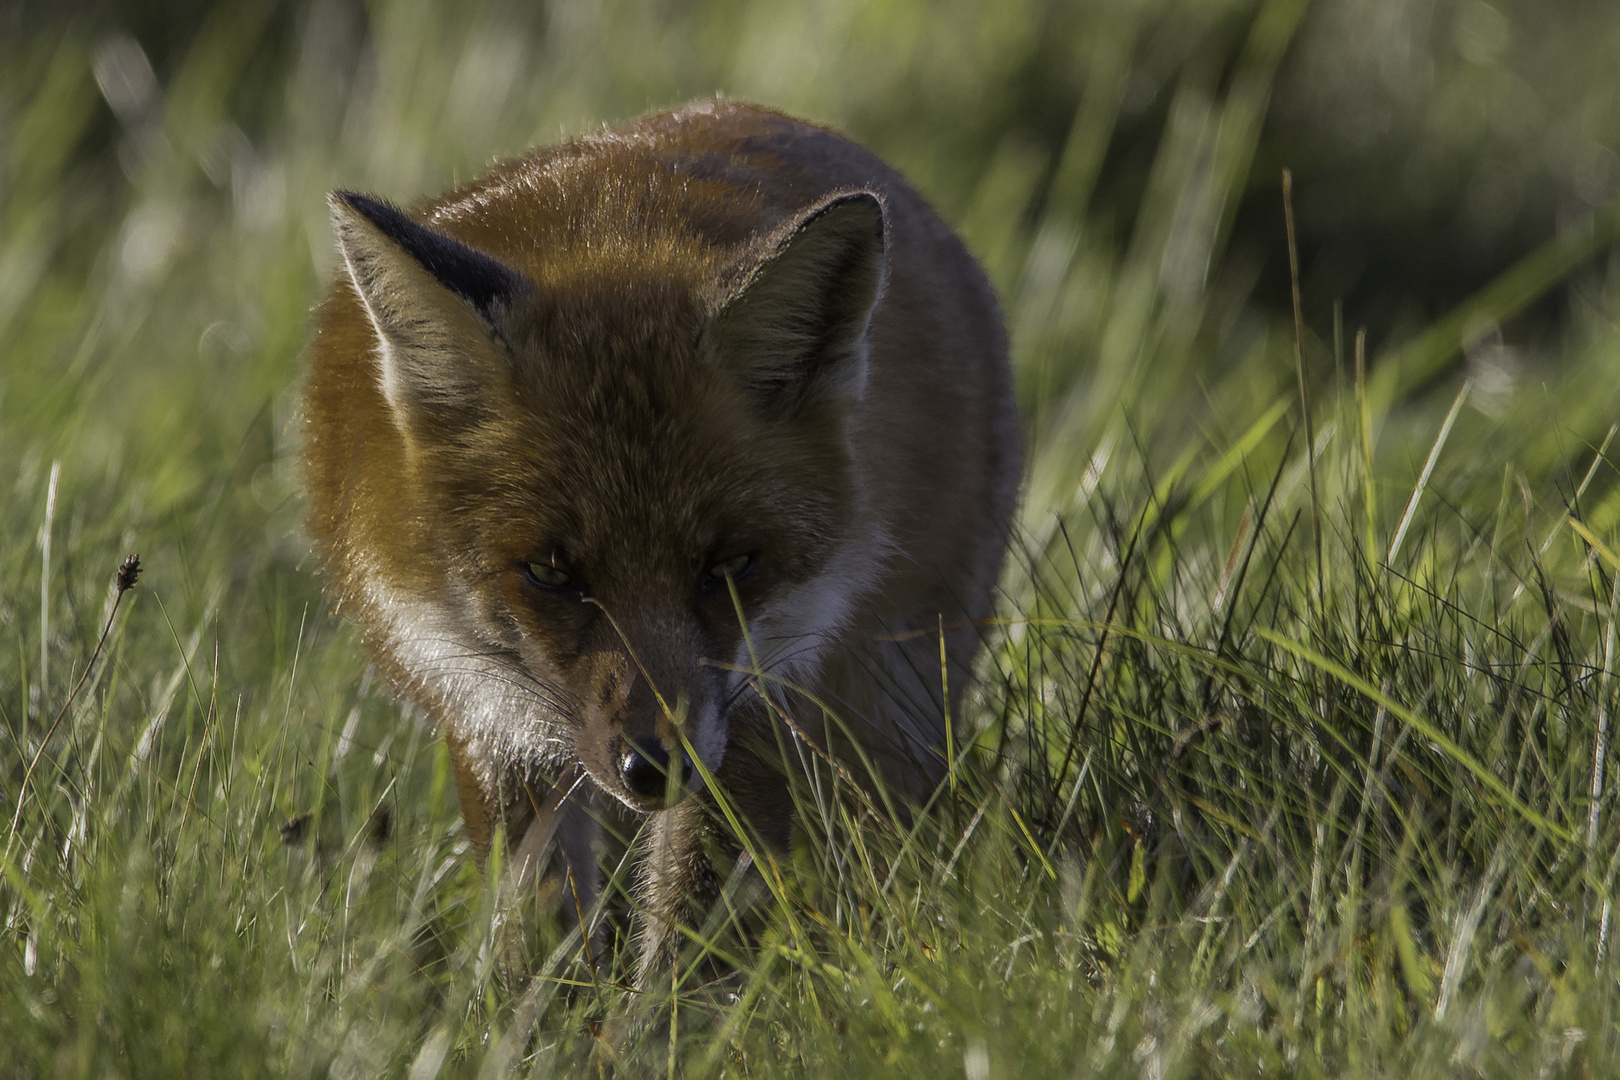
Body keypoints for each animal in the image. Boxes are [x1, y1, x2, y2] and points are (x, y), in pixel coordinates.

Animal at [299, 101, 1017, 977]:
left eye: (731, 565)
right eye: (549, 572)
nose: (657, 768)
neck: (609, 229)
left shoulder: (763, 701)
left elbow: (694, 946)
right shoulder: (489, 712)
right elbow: (536, 931)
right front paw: (535, 1017)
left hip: (893, 704)